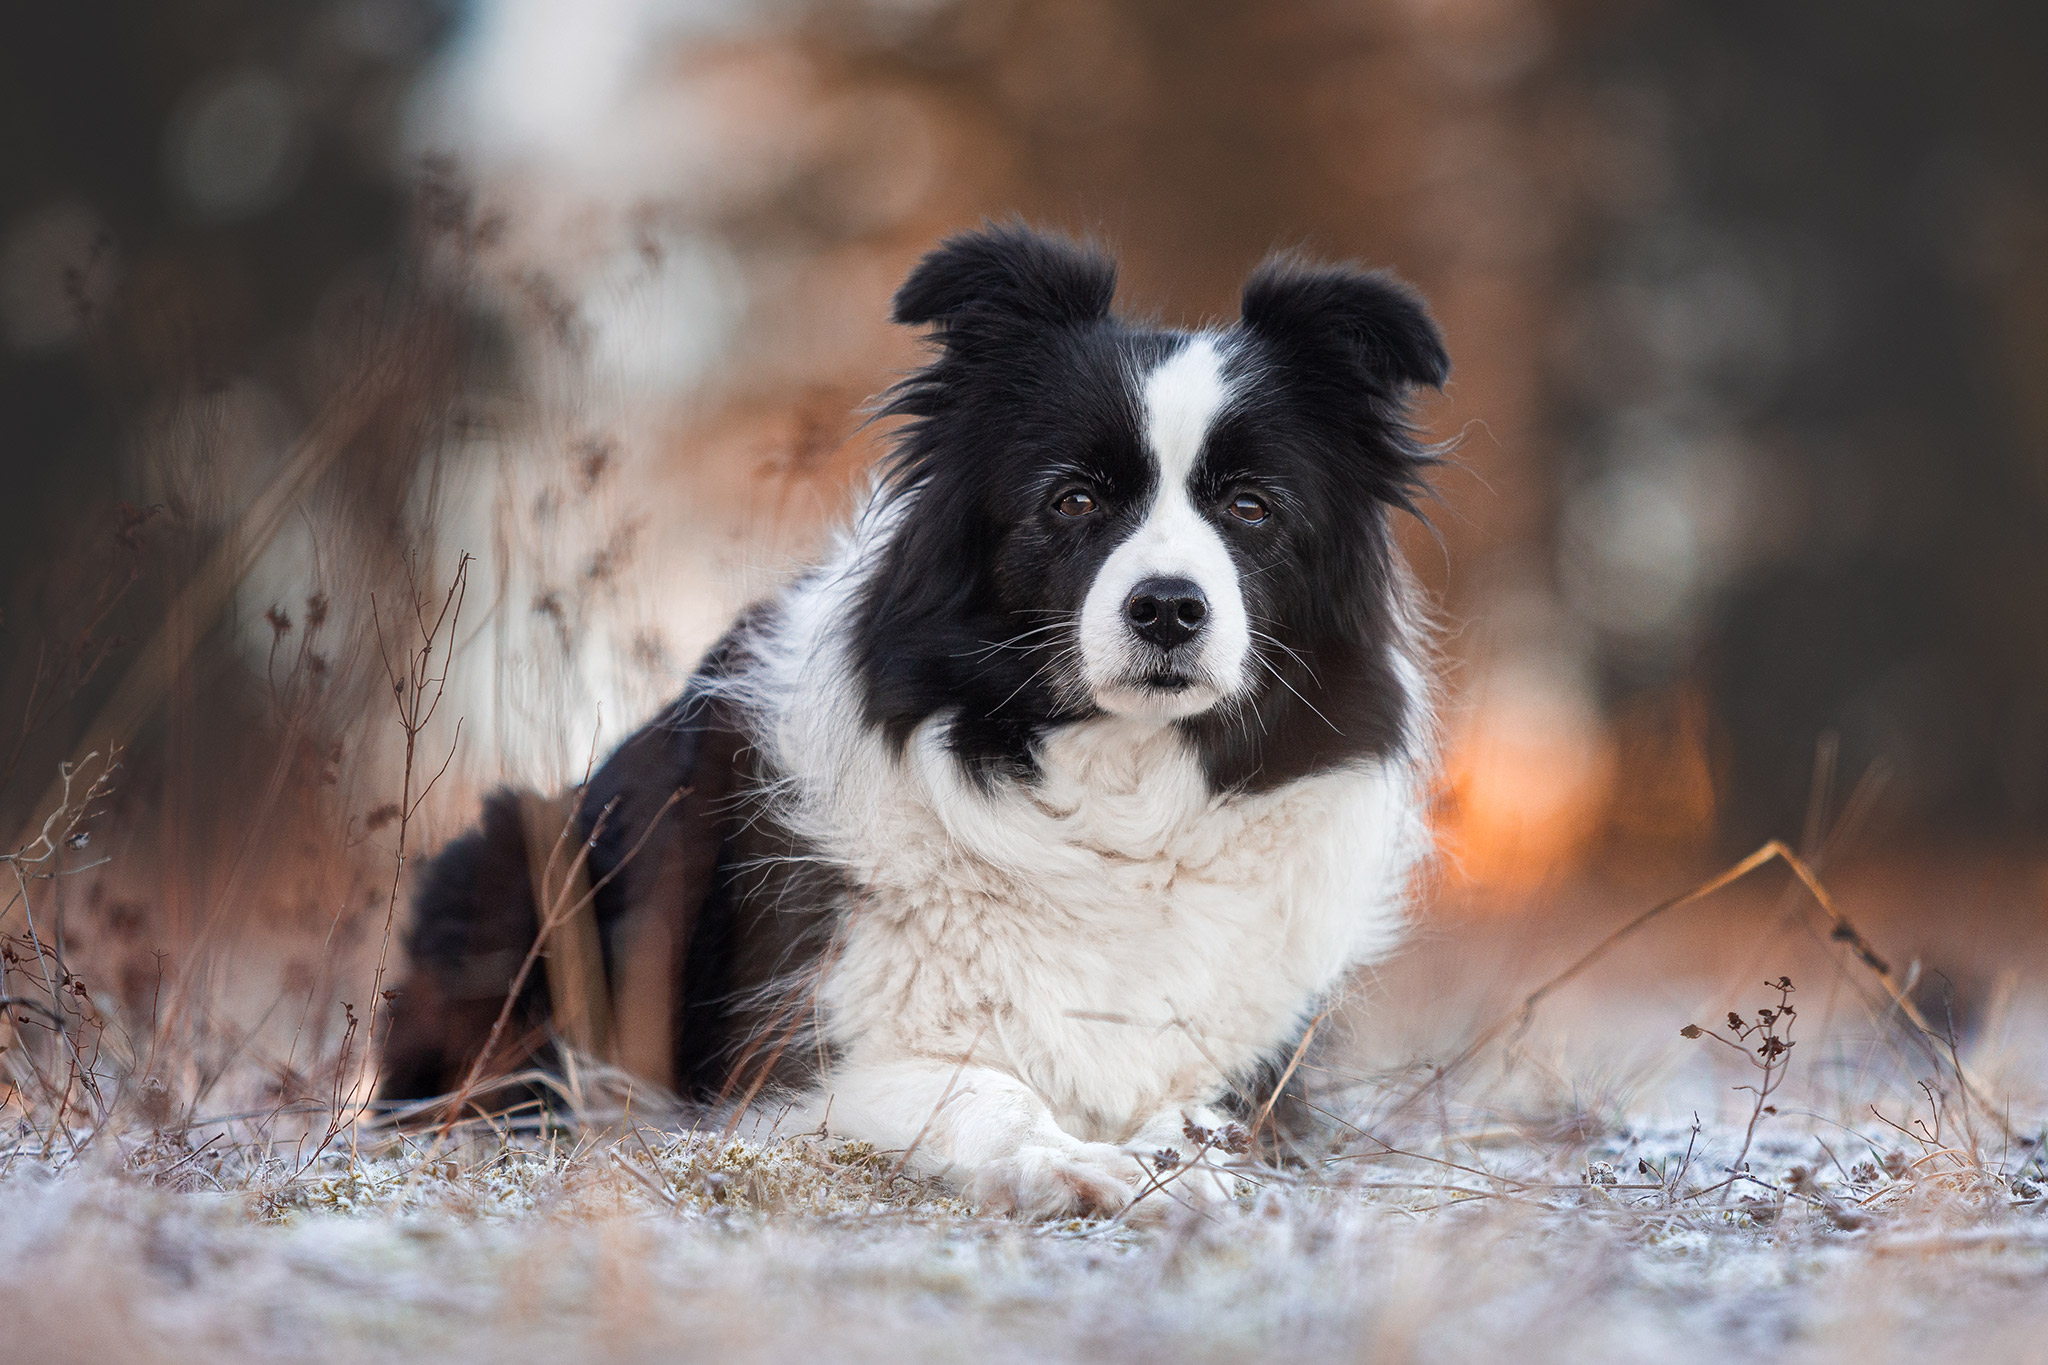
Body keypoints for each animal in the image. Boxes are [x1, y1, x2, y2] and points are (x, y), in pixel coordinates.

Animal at [380, 224, 1441, 1219]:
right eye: (1074, 498)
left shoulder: (1258, 1070)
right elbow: (983, 1090)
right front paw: (1076, 1164)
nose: (1170, 607)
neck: (1119, 804)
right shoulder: (787, 1072)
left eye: (1254, 507)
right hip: (510, 859)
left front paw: (1171, 1162)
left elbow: (1198, 1113)